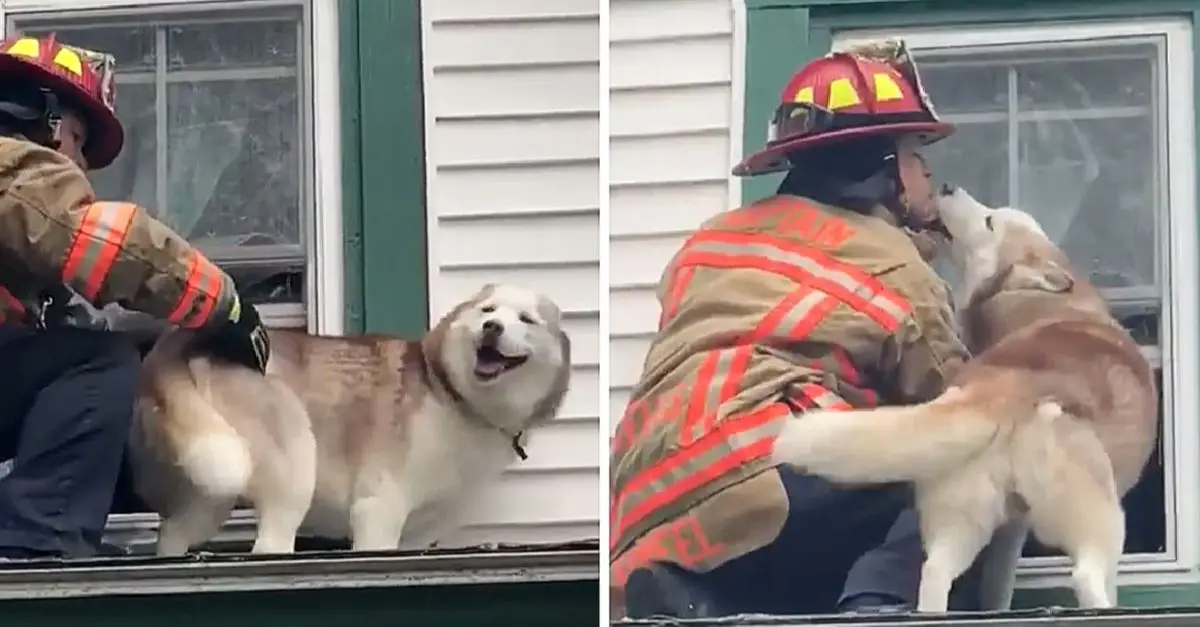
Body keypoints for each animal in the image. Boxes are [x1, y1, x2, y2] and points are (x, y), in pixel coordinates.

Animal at [131, 283, 571, 552]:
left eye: (527, 320)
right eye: (488, 310)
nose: (492, 327)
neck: (454, 397)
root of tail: (182, 341)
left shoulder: (416, 535)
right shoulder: (377, 509)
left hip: (212, 487)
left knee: (172, 533)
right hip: (293, 462)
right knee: (271, 542)